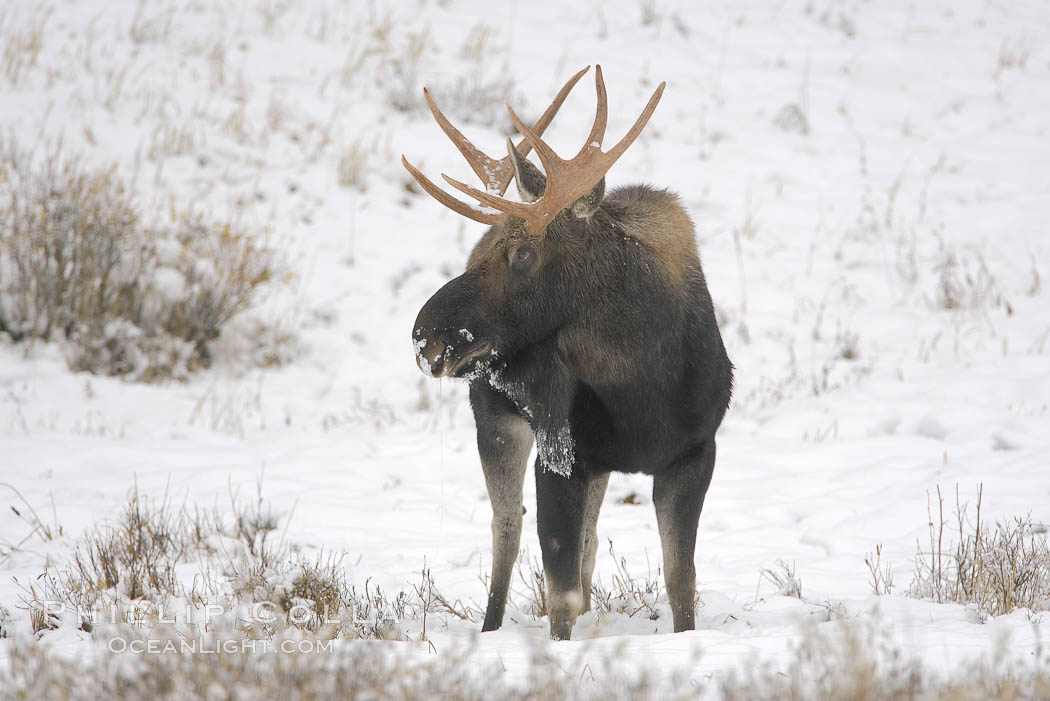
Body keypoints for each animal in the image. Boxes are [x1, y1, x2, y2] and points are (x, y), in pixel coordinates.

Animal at [405, 65, 734, 642]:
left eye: (523, 253)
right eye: (488, 248)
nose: (428, 336)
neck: (640, 384)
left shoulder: (694, 452)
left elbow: (680, 581)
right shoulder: (561, 453)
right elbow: (561, 594)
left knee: (586, 544)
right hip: (497, 420)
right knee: (506, 530)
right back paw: (489, 629)